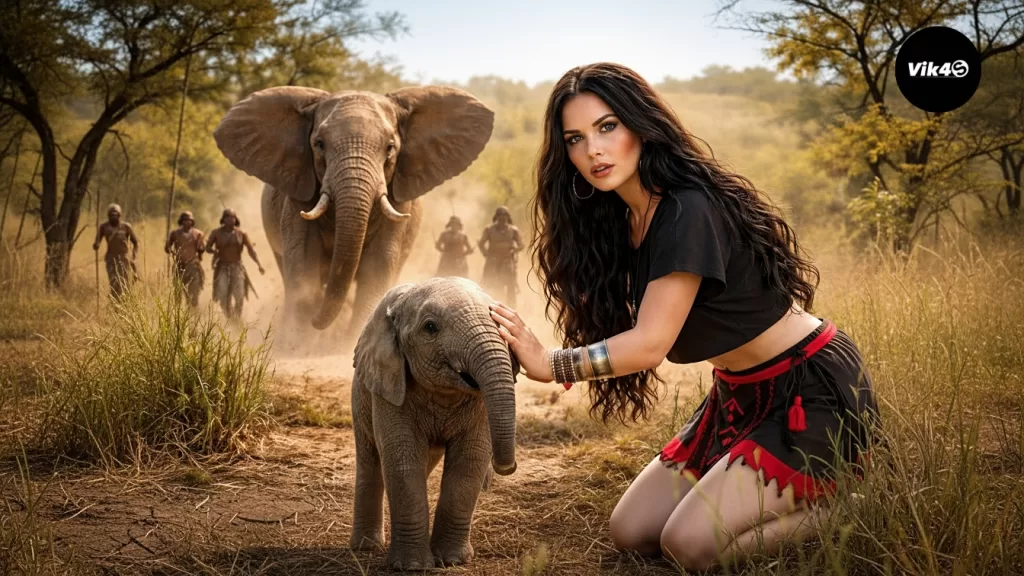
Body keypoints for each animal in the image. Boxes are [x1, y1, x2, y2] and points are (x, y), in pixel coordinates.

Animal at [212, 85, 495, 337]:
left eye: (390, 148)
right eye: (319, 144)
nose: (317, 322)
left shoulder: (397, 198)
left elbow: (378, 262)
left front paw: (349, 340)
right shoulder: (297, 193)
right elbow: (304, 257)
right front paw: (298, 343)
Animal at [350, 277, 519, 570]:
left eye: (498, 320)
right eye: (430, 327)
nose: (506, 467)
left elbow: (469, 459)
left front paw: (452, 560)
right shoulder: (389, 385)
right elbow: (402, 459)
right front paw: (411, 566)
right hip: (361, 393)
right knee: (370, 462)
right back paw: (365, 546)